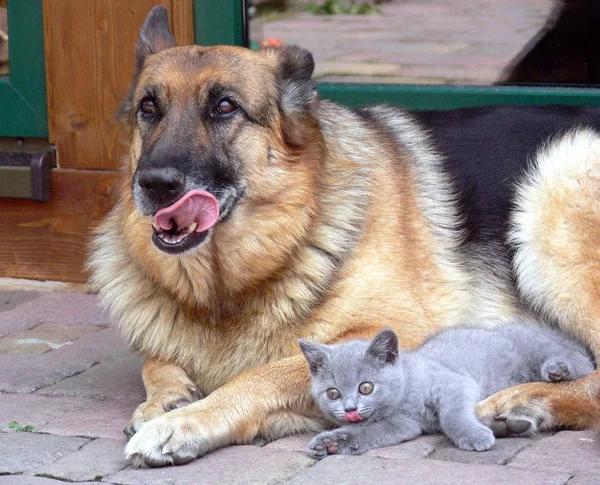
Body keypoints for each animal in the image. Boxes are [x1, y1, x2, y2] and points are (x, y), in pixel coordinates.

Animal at [300, 322, 596, 458]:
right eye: (333, 393)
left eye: (366, 387)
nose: (350, 408)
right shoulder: (402, 424)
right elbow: (367, 432)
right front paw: (331, 442)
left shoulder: (453, 383)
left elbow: (453, 415)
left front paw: (473, 436)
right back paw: (506, 425)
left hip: (533, 345)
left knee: (583, 363)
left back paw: (557, 369)